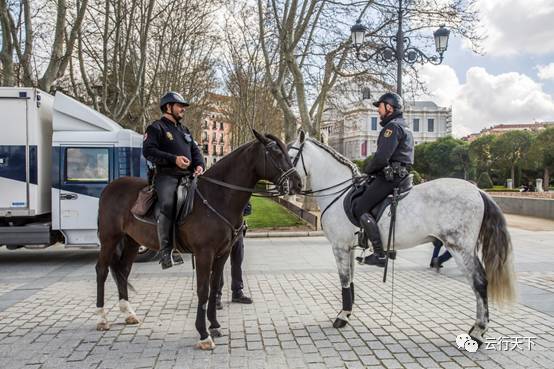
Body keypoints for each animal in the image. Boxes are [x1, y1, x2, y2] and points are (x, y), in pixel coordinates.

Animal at [96, 129, 302, 348]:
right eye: (276, 153)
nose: (298, 183)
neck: (218, 197)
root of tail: (110, 187)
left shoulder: (222, 254)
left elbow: (214, 287)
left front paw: (214, 325)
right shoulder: (204, 254)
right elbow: (203, 290)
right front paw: (203, 334)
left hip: (132, 241)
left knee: (123, 271)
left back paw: (128, 312)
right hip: (109, 238)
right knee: (101, 270)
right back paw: (102, 318)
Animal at [286, 131, 516, 344]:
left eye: (289, 156)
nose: (287, 186)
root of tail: (478, 191)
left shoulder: (339, 246)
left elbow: (343, 279)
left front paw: (342, 316)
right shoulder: (348, 247)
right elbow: (349, 279)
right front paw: (349, 312)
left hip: (460, 249)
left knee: (479, 282)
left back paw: (478, 331)